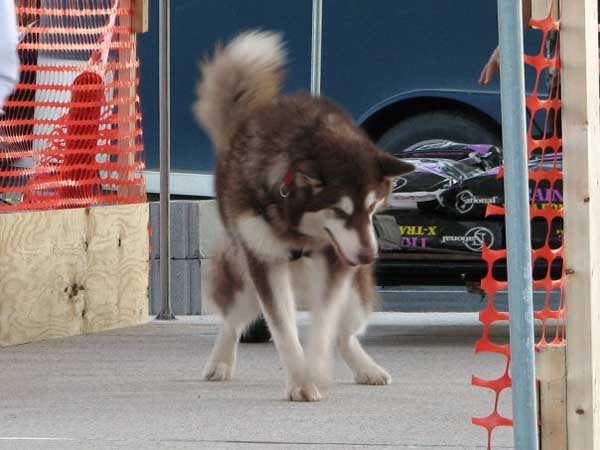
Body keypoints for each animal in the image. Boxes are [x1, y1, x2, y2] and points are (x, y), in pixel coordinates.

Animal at [195, 30, 414, 400]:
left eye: (372, 208)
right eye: (338, 210)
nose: (368, 256)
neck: (295, 227)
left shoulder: (336, 261)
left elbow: (323, 326)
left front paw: (315, 369)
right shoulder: (265, 263)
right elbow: (284, 332)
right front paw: (300, 381)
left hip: (356, 294)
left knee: (344, 334)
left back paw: (366, 368)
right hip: (243, 279)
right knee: (233, 320)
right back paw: (220, 361)